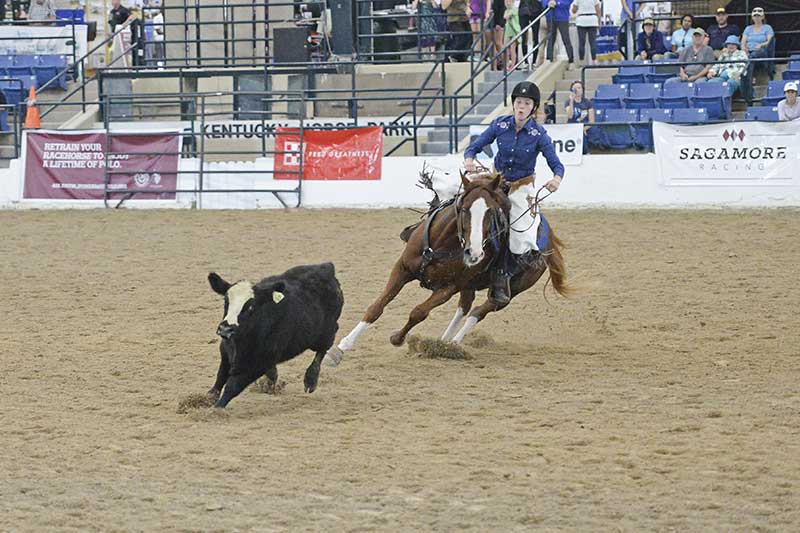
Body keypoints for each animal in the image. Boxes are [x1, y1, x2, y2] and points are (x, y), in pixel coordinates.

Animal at [324, 171, 568, 366]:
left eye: (491, 211)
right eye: (463, 208)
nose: (474, 253)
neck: (441, 244)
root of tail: (549, 238)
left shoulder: (448, 288)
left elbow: (418, 312)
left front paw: (397, 338)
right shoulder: (402, 269)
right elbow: (377, 307)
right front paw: (341, 348)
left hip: (511, 291)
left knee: (479, 310)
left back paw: (454, 343)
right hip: (470, 285)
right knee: (465, 306)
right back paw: (443, 342)